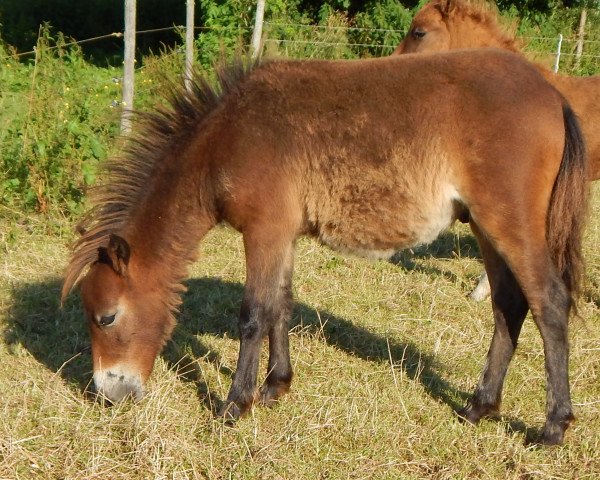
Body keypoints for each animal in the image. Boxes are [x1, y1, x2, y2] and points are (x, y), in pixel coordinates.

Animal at [63, 50, 588, 444]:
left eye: (106, 317)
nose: (107, 395)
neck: (229, 137)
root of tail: (552, 94)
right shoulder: (283, 236)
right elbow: (281, 305)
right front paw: (275, 387)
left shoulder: (264, 231)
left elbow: (253, 314)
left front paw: (234, 405)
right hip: (484, 226)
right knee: (508, 306)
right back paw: (480, 406)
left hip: (509, 223)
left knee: (549, 303)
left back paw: (553, 427)